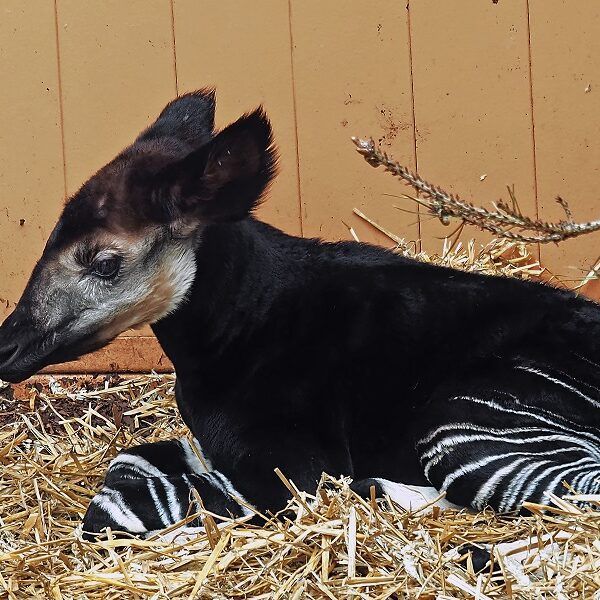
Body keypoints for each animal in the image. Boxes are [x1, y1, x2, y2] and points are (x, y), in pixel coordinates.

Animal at [1, 90, 600, 540]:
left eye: (104, 262)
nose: (6, 347)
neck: (238, 324)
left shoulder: (288, 467)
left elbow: (165, 498)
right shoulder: (212, 447)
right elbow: (134, 458)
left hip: (465, 421)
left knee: (563, 492)